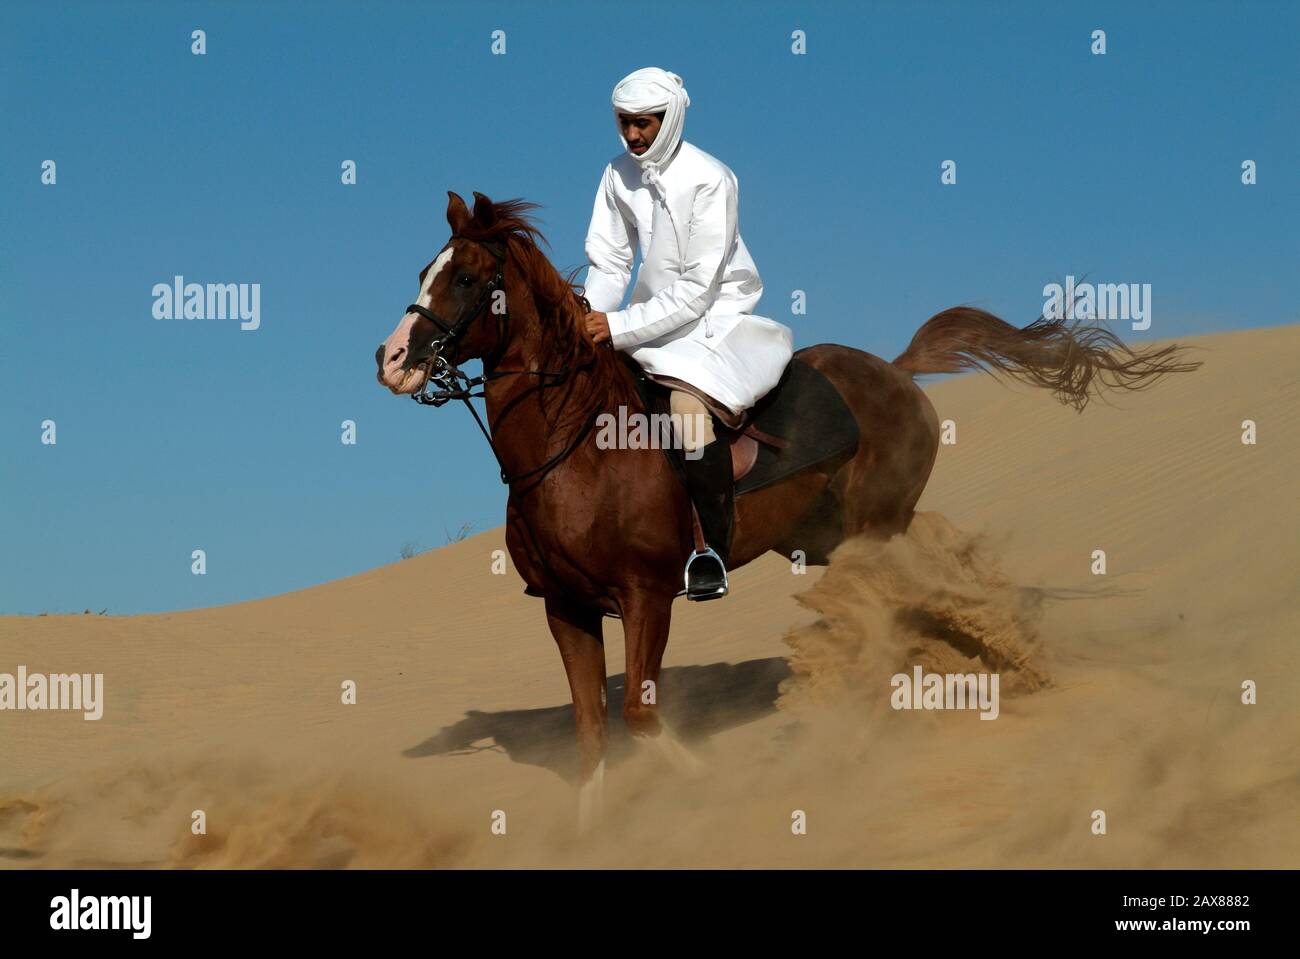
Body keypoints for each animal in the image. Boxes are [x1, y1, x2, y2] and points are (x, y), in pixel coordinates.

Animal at [376, 191, 1200, 826]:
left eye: (470, 276)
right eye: (424, 271)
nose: (391, 360)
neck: (573, 447)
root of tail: (896, 372)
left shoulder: (648, 595)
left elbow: (640, 715)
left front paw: (712, 787)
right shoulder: (567, 608)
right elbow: (590, 731)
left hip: (872, 530)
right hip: (834, 539)